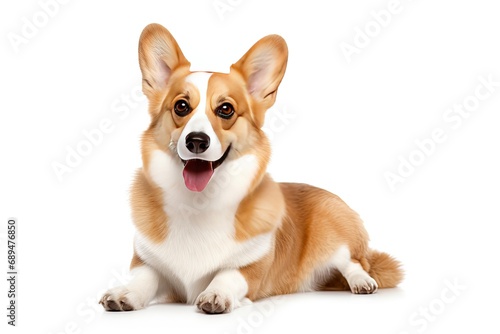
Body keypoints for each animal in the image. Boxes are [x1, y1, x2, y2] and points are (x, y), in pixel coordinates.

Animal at [99, 23, 400, 314]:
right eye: (181, 106)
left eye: (226, 109)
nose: (196, 141)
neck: (198, 204)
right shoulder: (148, 262)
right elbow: (143, 278)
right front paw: (125, 293)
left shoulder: (251, 268)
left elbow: (227, 274)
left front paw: (216, 294)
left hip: (335, 237)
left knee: (355, 262)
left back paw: (362, 282)